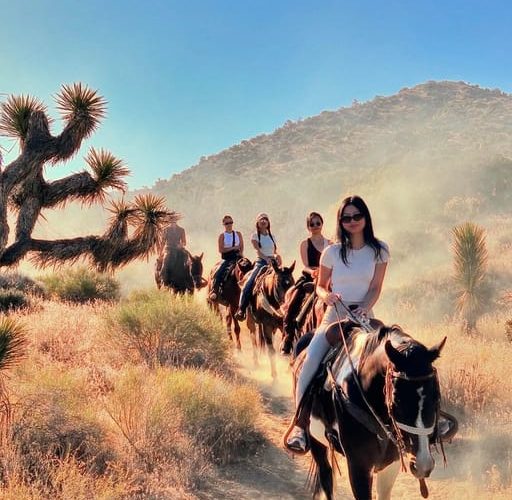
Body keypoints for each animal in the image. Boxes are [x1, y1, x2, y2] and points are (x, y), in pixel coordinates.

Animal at [290, 320, 450, 500]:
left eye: (436, 397)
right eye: (397, 398)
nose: (423, 464)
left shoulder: (392, 463)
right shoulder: (359, 466)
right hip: (316, 442)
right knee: (326, 477)